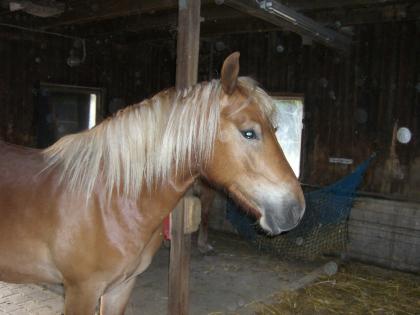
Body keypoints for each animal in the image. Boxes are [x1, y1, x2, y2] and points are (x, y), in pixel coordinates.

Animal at [0, 53, 304, 314]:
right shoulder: (81, 291)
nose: (296, 208)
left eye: (276, 129)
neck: (107, 201)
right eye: (249, 132)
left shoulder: (120, 287)